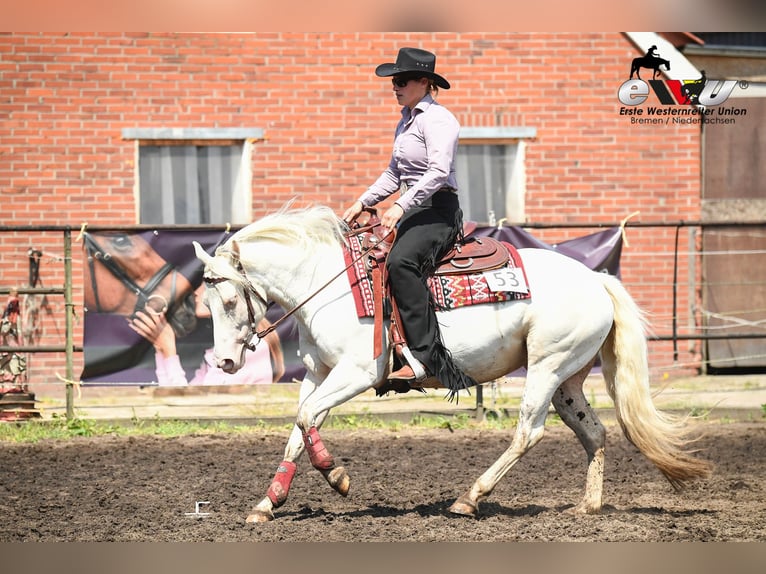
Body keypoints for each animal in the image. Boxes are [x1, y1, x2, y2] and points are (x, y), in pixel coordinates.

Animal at [194, 207, 712, 528]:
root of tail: (598, 280)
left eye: (228, 299)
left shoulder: (358, 373)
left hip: (546, 368)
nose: (225, 361)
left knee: (528, 433)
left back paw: (470, 498)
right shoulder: (318, 374)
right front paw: (267, 503)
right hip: (568, 379)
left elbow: (306, 420)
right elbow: (297, 431)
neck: (329, 283)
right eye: (206, 301)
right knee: (594, 432)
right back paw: (587, 506)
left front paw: (337, 478)